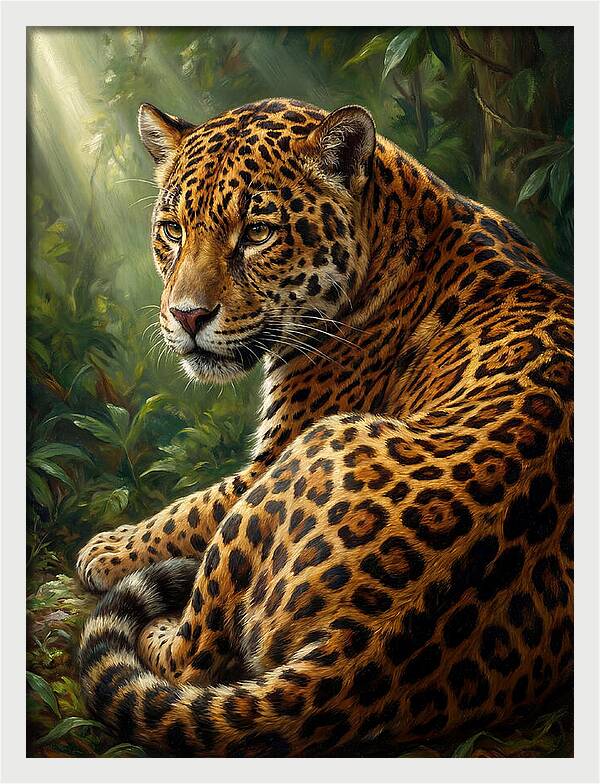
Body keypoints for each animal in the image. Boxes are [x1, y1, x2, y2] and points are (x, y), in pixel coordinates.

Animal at [77, 97, 573, 757]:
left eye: (257, 233)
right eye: (174, 229)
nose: (186, 316)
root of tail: (360, 649)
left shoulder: (274, 453)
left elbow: (189, 510)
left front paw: (107, 549)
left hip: (304, 457)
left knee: (192, 659)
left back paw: (159, 623)